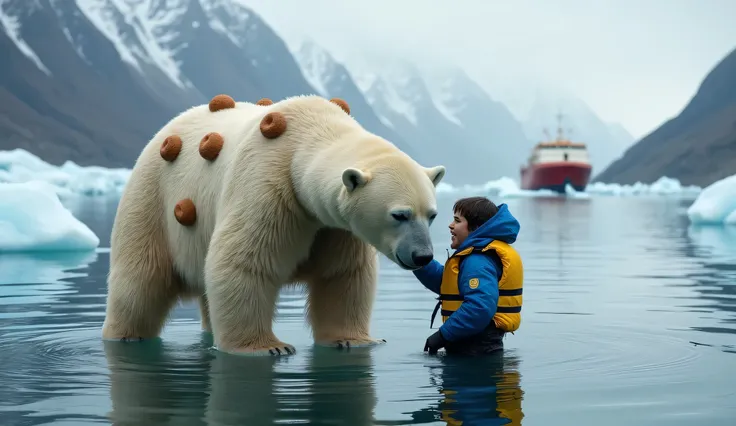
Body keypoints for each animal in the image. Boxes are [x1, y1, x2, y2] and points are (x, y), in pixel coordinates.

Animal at [100, 94, 446, 356]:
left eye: (431, 214)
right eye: (399, 215)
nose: (422, 256)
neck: (309, 130)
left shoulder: (336, 227)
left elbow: (342, 274)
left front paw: (353, 340)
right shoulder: (268, 182)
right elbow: (243, 262)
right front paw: (267, 347)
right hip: (153, 197)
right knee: (141, 277)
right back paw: (126, 335)